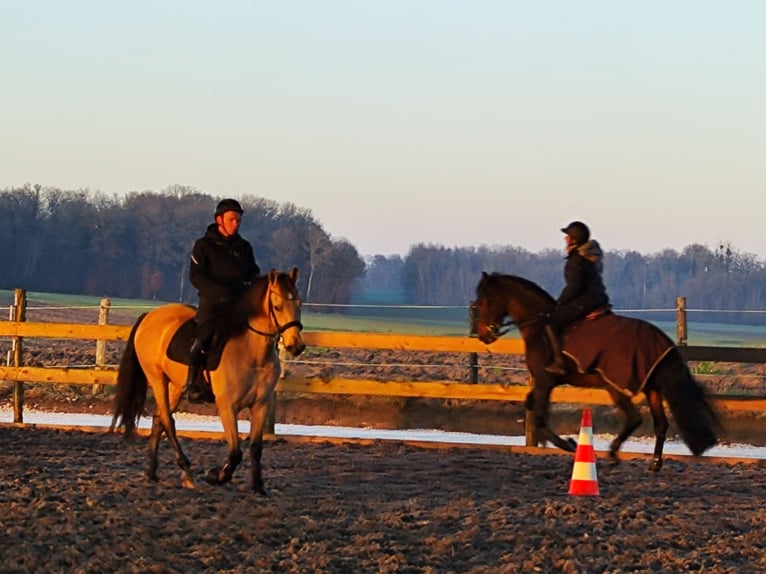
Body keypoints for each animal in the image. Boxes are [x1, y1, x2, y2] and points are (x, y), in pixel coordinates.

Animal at [109, 268, 304, 496]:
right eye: (278, 306)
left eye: (299, 303)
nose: (296, 346)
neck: (253, 353)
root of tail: (149, 315)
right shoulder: (227, 407)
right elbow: (235, 452)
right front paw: (216, 476)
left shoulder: (261, 405)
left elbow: (256, 449)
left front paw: (258, 487)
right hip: (157, 380)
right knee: (168, 421)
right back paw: (186, 470)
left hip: (176, 386)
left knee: (159, 421)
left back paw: (152, 472)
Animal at [474, 272, 720, 470]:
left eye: (484, 300)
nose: (483, 335)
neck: (539, 326)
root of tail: (662, 341)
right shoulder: (546, 383)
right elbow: (531, 407)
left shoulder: (545, 380)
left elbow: (539, 416)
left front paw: (568, 444)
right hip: (651, 388)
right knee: (660, 424)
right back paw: (654, 463)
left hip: (615, 386)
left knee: (635, 419)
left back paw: (613, 454)